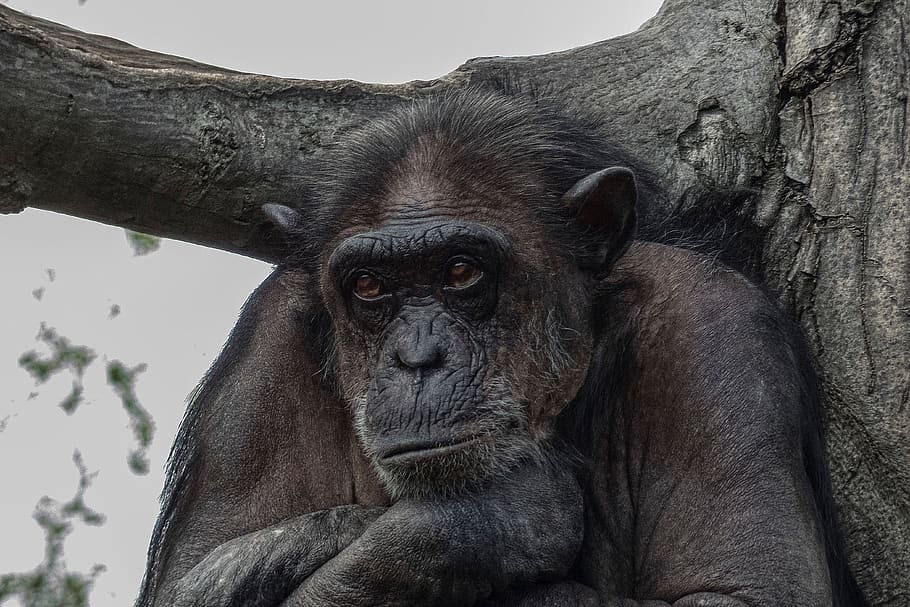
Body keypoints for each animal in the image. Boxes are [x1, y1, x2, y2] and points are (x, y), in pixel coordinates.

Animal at [136, 89, 866, 606]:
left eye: (462, 271)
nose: (418, 358)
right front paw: (501, 517)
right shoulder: (266, 353)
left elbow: (743, 590)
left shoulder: (713, 329)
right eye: (370, 285)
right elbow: (192, 581)